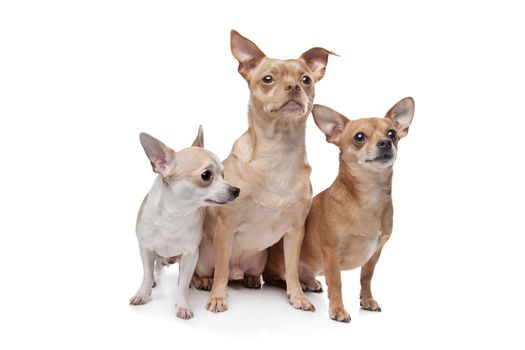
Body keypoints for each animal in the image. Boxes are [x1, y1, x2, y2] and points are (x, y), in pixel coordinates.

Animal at [129, 127, 239, 318]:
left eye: (224, 175)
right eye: (206, 175)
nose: (236, 190)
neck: (175, 213)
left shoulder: (190, 255)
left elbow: (182, 285)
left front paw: (182, 305)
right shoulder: (145, 249)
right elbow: (147, 274)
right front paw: (142, 294)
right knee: (154, 269)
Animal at [192, 31, 336, 314]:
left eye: (306, 79)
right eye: (268, 79)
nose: (294, 87)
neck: (279, 151)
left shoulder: (295, 232)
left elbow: (291, 269)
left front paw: (297, 296)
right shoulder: (226, 227)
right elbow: (221, 270)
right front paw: (218, 297)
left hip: (260, 259)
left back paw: (251, 279)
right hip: (203, 256)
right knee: (209, 271)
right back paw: (203, 281)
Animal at [262, 97, 414, 322]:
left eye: (392, 133)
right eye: (359, 137)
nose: (385, 143)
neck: (368, 197)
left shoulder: (374, 254)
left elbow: (366, 278)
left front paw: (367, 300)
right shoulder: (331, 253)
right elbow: (336, 283)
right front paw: (338, 310)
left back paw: (311, 282)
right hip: (283, 264)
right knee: (280, 277)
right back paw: (297, 287)